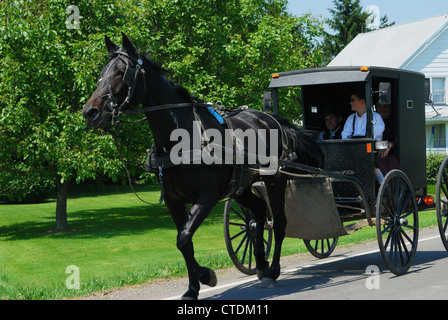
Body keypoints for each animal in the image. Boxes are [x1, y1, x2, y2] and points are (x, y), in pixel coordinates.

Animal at [82, 33, 324, 300]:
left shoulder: (206, 196)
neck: (180, 137)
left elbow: (184, 237)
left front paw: (206, 275)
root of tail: (269, 118)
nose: (90, 112)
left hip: (275, 180)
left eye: (120, 71)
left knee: (279, 222)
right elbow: (184, 242)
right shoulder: (173, 200)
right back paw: (260, 264)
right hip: (240, 187)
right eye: (101, 73)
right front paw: (192, 288)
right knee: (259, 212)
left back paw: (272, 272)